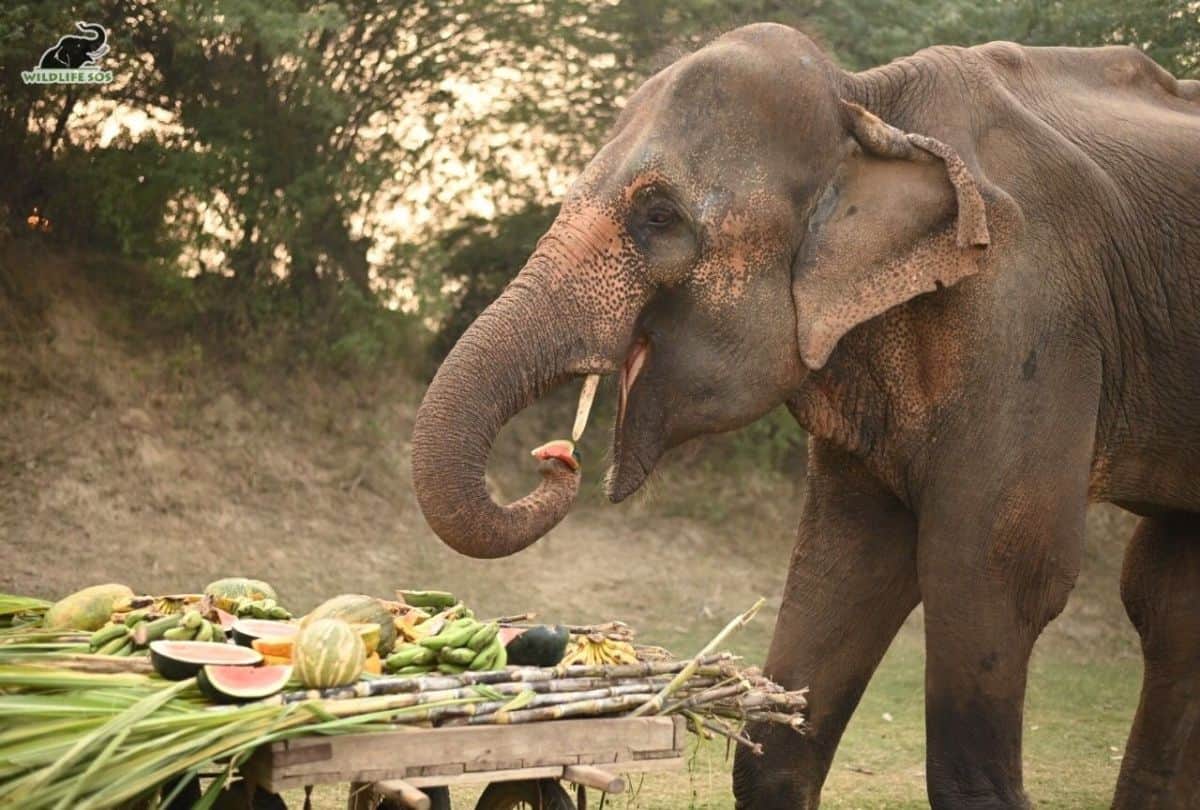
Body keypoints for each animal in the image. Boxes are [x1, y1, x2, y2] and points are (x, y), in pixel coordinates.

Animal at [411, 23, 1200, 809]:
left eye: (658, 216)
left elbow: (996, 562)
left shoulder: (1030, 314)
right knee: (1167, 593)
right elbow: (843, 560)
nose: (556, 458)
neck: (868, 103)